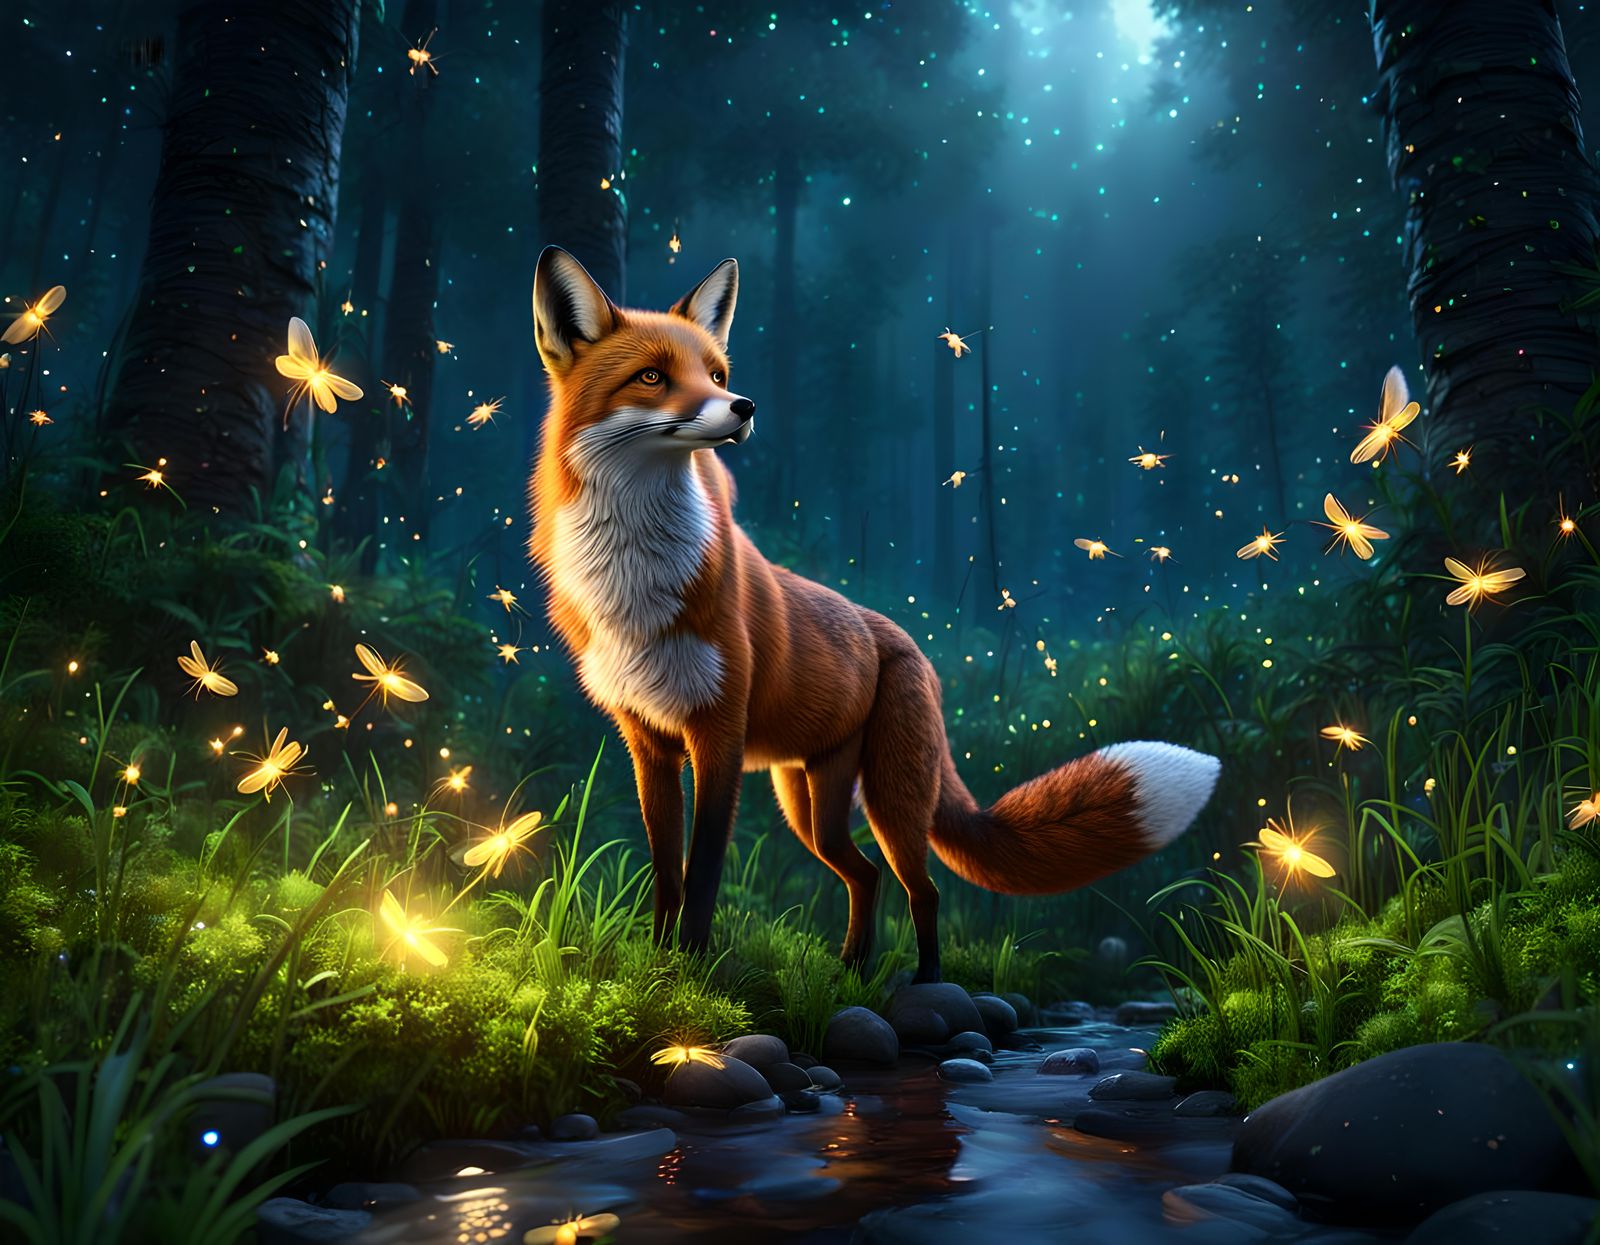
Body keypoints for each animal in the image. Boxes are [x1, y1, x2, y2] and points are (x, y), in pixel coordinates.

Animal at [528, 245, 1220, 983]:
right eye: (653, 376)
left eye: (716, 374)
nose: (744, 405)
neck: (634, 587)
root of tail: (908, 644)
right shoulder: (649, 743)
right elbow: (667, 872)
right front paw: (659, 967)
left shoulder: (719, 735)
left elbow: (705, 872)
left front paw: (691, 970)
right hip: (809, 805)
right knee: (865, 875)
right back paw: (851, 970)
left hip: (888, 799)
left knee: (923, 886)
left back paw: (924, 982)